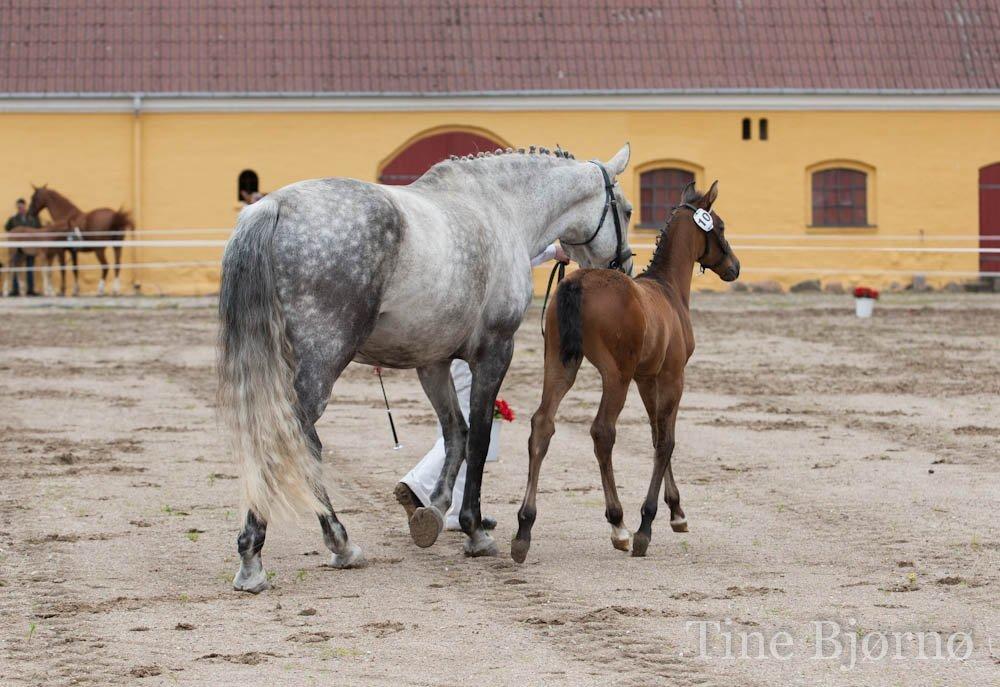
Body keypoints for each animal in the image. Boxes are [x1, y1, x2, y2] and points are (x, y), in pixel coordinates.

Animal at [221, 144, 632, 592]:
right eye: (627, 210)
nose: (625, 268)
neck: (500, 207)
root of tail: (273, 206)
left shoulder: (432, 363)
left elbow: (456, 433)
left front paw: (433, 511)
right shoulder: (494, 352)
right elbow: (480, 437)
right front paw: (473, 529)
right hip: (322, 362)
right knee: (292, 441)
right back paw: (297, 550)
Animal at [516, 183, 744, 564]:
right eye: (722, 226)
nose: (735, 267)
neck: (668, 290)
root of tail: (577, 283)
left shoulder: (646, 379)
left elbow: (655, 434)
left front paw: (677, 512)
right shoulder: (672, 378)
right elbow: (667, 440)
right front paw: (646, 525)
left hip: (560, 365)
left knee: (542, 425)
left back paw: (523, 529)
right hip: (615, 375)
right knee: (602, 432)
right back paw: (619, 525)